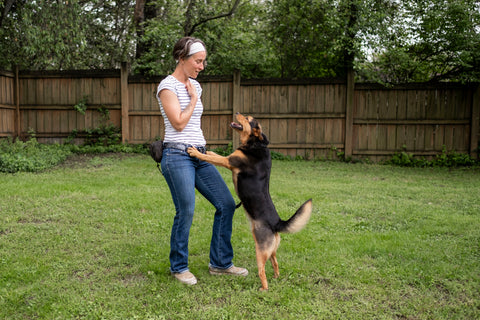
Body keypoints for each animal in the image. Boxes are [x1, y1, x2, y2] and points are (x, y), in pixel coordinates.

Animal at [189, 114, 314, 292]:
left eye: (248, 119)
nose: (238, 113)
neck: (256, 144)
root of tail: (276, 223)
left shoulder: (229, 161)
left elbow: (212, 157)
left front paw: (195, 152)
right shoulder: (229, 159)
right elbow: (213, 154)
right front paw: (206, 149)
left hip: (260, 251)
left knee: (262, 271)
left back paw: (264, 289)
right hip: (271, 250)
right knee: (275, 263)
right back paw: (276, 277)